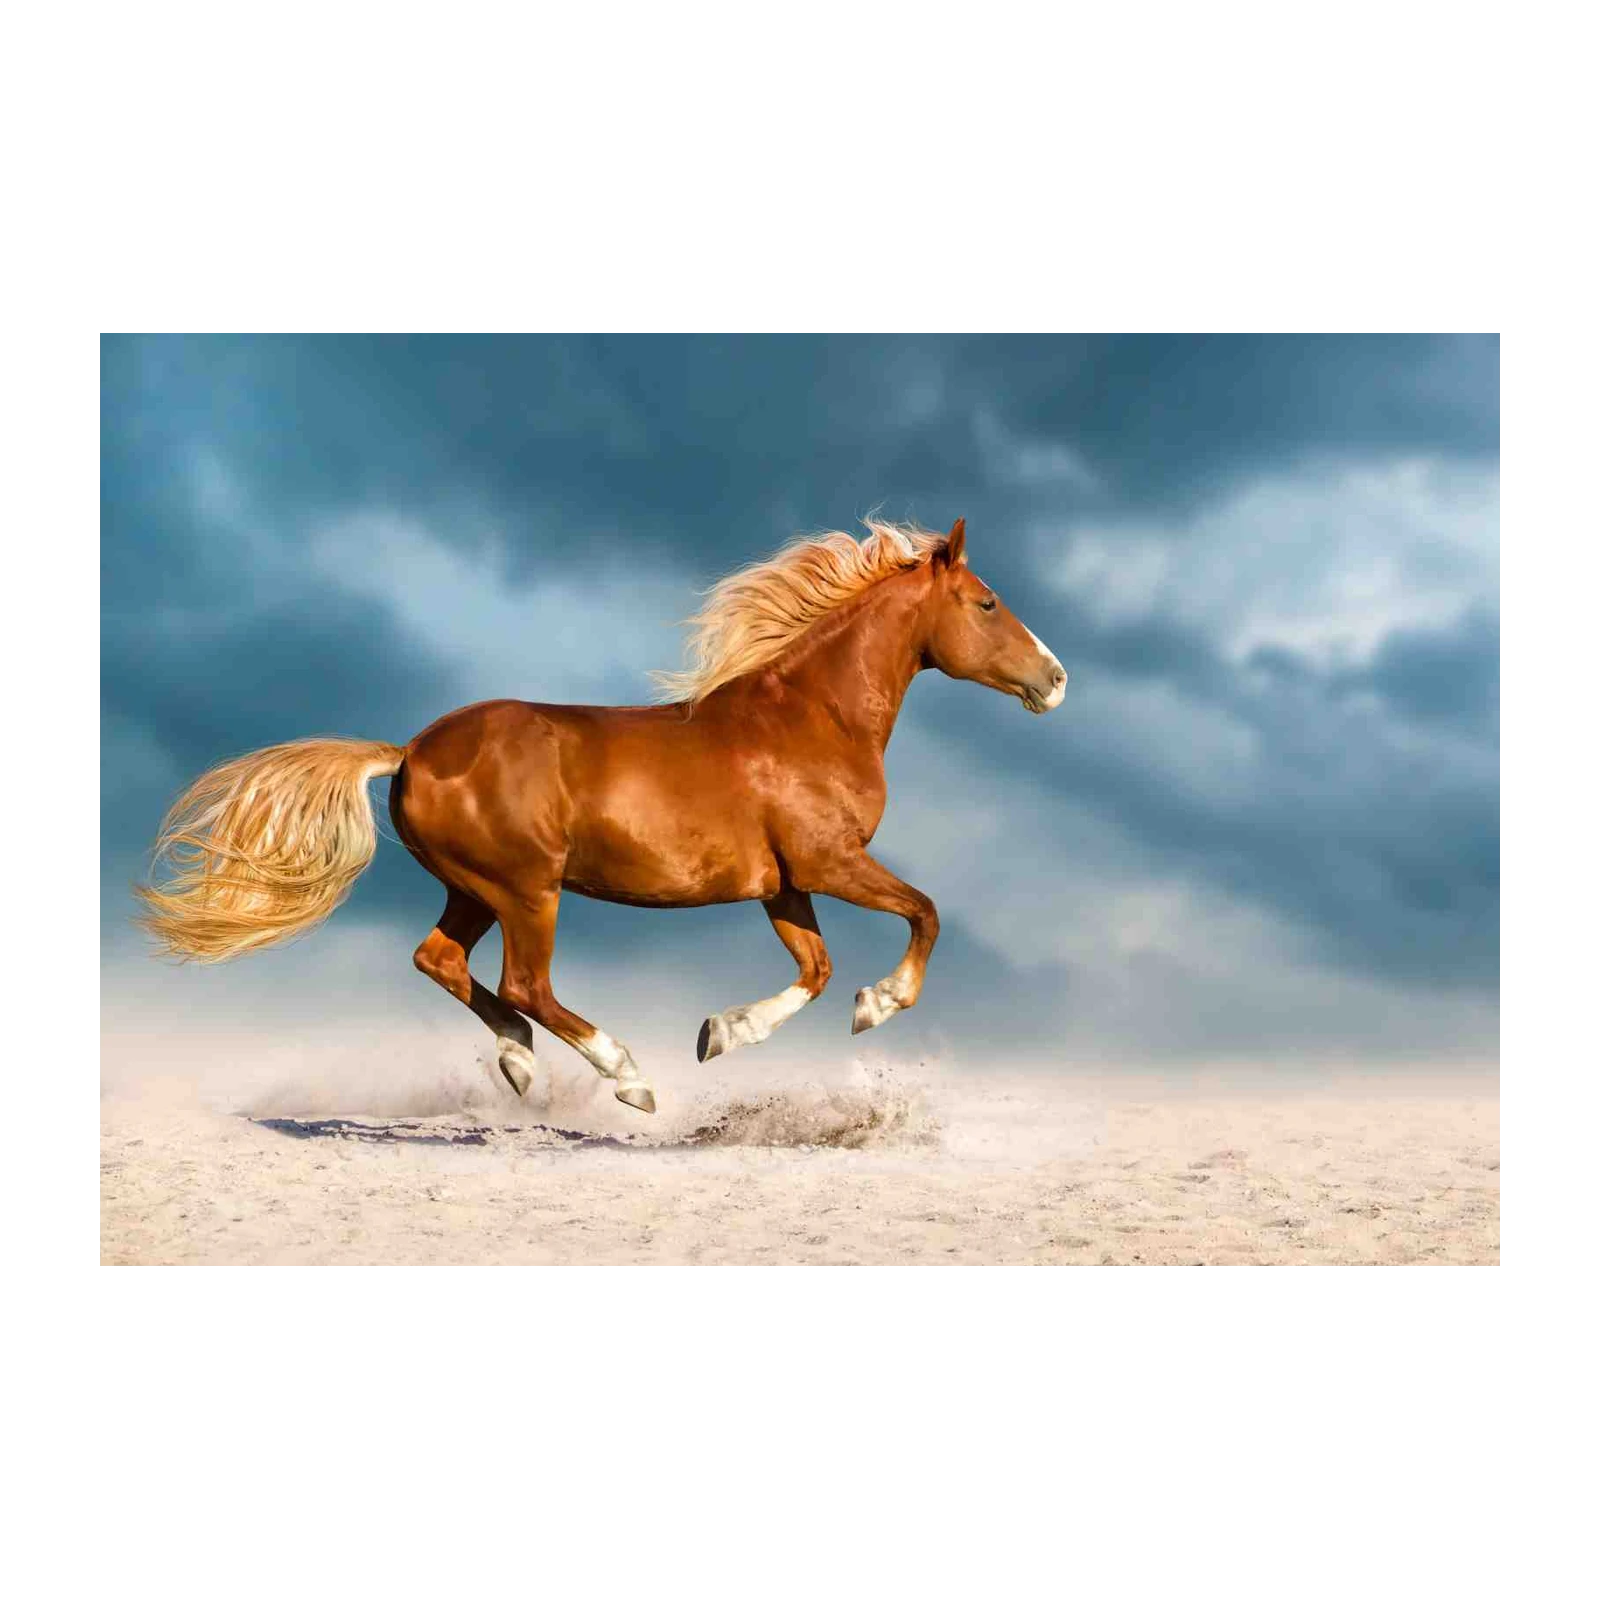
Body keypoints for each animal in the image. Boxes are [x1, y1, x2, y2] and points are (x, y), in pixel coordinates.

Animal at [135, 517, 1068, 1114]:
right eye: (987, 602)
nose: (1054, 680)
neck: (810, 717)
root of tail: (410, 752)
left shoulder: (782, 884)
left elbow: (816, 968)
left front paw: (721, 1032)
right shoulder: (828, 862)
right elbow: (924, 915)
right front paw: (878, 1005)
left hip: (475, 889)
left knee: (441, 960)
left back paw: (518, 1062)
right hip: (528, 889)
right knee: (526, 983)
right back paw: (626, 1075)